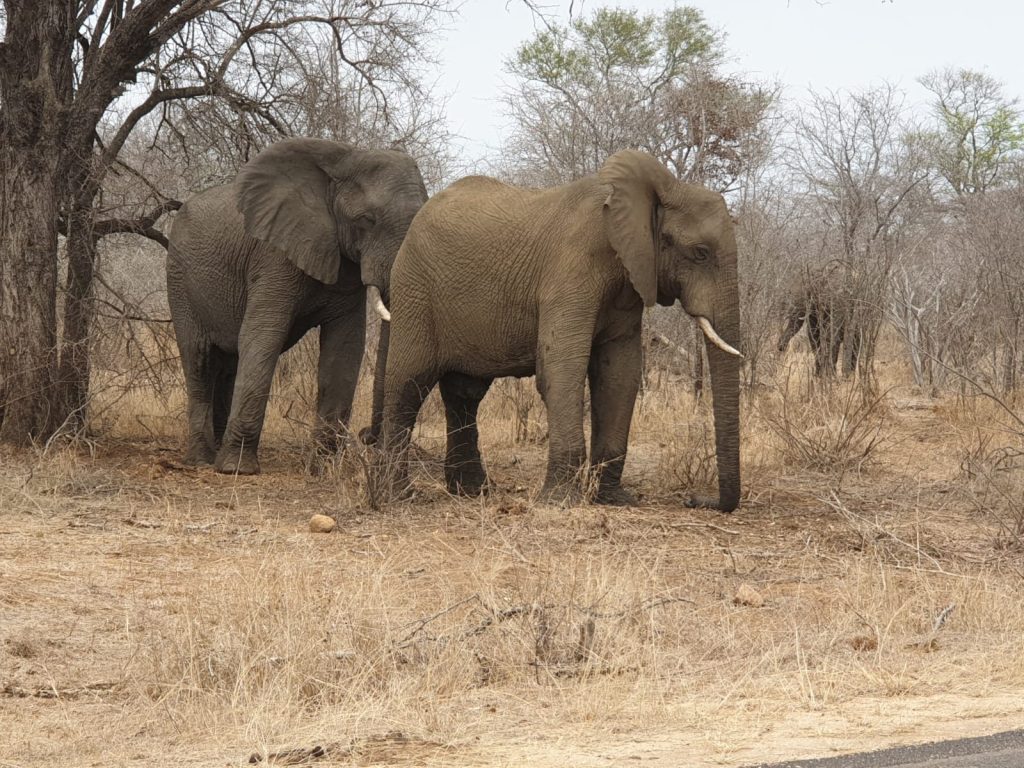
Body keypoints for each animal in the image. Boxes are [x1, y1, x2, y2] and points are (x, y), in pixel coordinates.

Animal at [165, 138, 425, 475]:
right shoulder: (273, 257)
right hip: (179, 280)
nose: (366, 435)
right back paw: (201, 460)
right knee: (200, 360)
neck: (341, 162)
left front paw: (322, 469)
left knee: (228, 364)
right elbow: (262, 337)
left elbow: (344, 348)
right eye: (366, 221)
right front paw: (237, 469)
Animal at [376, 149, 745, 512]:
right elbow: (560, 369)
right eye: (700, 253)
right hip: (414, 288)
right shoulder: (572, 271)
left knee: (464, 393)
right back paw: (397, 498)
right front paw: (560, 502)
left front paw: (613, 499)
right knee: (409, 384)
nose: (694, 499)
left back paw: (471, 493)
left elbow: (619, 375)